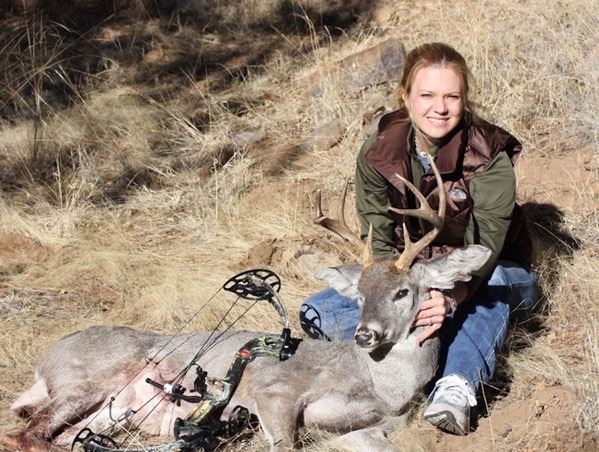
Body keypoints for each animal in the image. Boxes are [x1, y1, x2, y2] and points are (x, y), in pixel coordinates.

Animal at [2, 157, 491, 452]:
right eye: (359, 294)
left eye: (402, 291)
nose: (364, 334)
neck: (379, 385)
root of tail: (43, 364)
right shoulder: (273, 389)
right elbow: (286, 440)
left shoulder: (384, 424)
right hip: (86, 376)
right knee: (26, 433)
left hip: (111, 411)